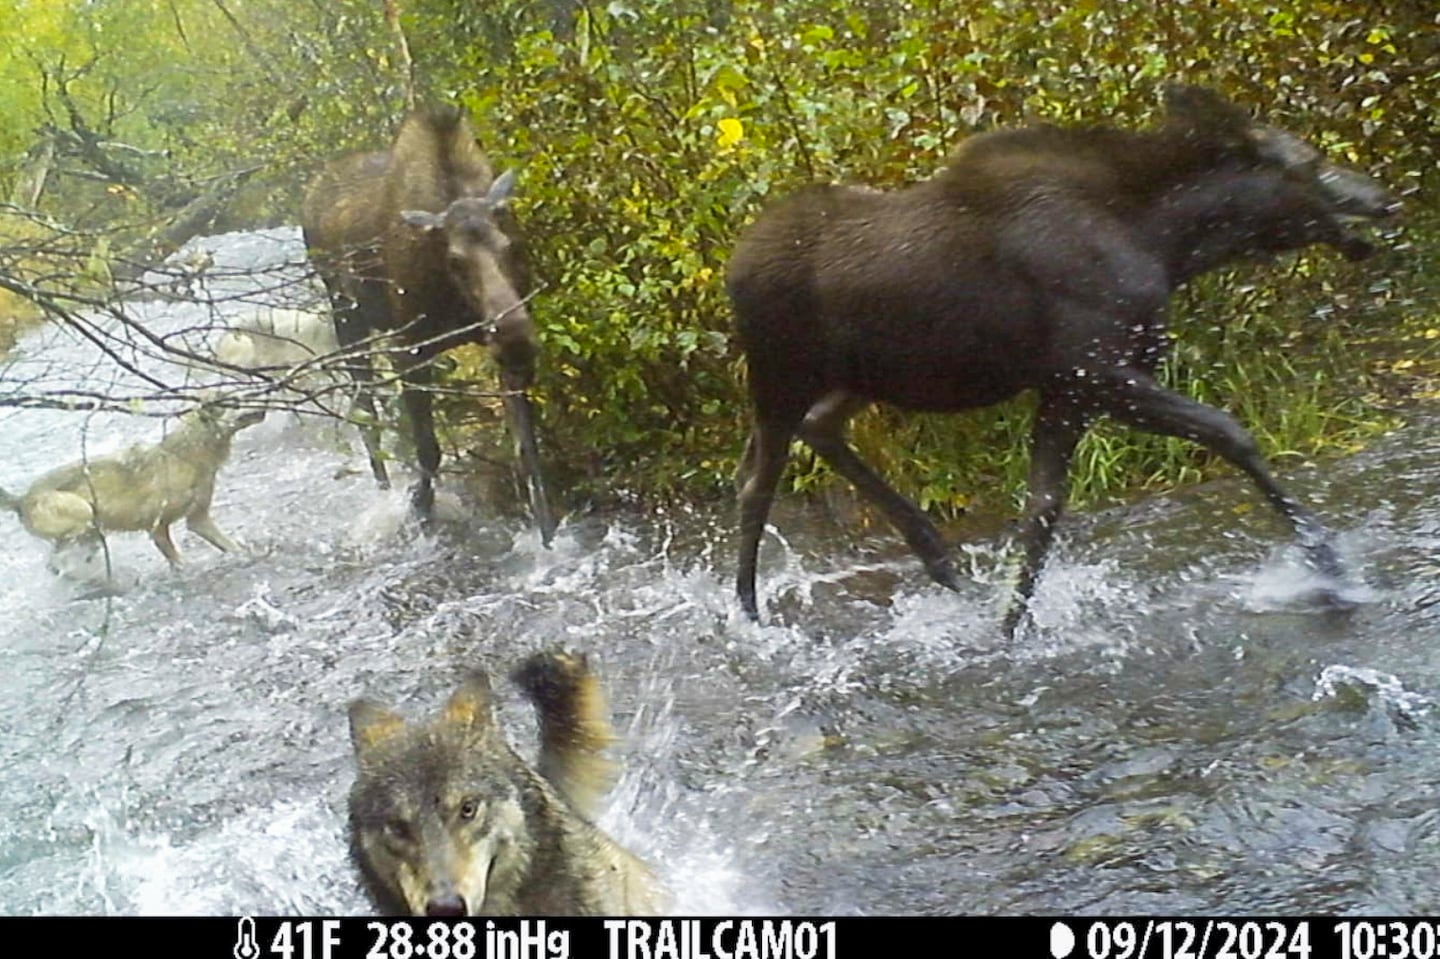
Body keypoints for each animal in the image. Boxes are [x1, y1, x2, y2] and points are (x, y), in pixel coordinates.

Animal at [0, 400, 264, 567]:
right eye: (235, 403)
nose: (264, 402)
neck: (184, 455)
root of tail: (21, 499)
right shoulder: (157, 528)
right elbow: (177, 559)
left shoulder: (199, 519)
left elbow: (230, 545)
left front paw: (246, 555)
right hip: (83, 514)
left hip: (88, 530)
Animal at [300, 105, 552, 541]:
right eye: (455, 260)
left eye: (510, 246)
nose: (517, 340)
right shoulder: (410, 350)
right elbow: (427, 449)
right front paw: (418, 510)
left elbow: (527, 450)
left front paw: (547, 534)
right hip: (346, 316)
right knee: (366, 413)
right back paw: (384, 494)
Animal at [725, 83, 1399, 633]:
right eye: (1311, 162)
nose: (1385, 197)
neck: (1167, 245)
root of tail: (734, 265)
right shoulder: (1098, 373)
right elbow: (1229, 431)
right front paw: (1329, 569)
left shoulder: (1067, 388)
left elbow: (1041, 510)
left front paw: (1009, 628)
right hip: (780, 374)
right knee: (756, 481)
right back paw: (750, 614)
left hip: (863, 379)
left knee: (820, 429)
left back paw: (939, 558)